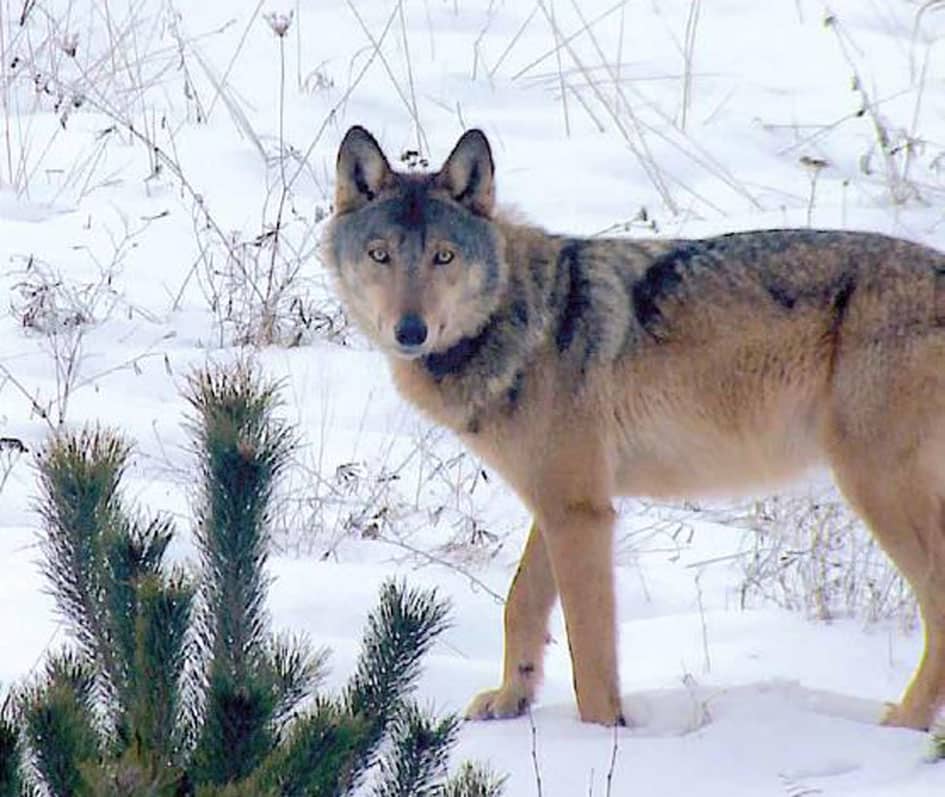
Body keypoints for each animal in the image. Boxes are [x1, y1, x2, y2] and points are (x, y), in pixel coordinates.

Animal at [323, 124, 945, 730]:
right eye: (380, 255)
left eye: (444, 257)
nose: (410, 330)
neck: (526, 322)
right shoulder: (563, 504)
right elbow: (520, 604)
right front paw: (511, 701)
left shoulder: (581, 514)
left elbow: (591, 648)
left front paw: (602, 735)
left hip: (873, 487)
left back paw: (907, 722)